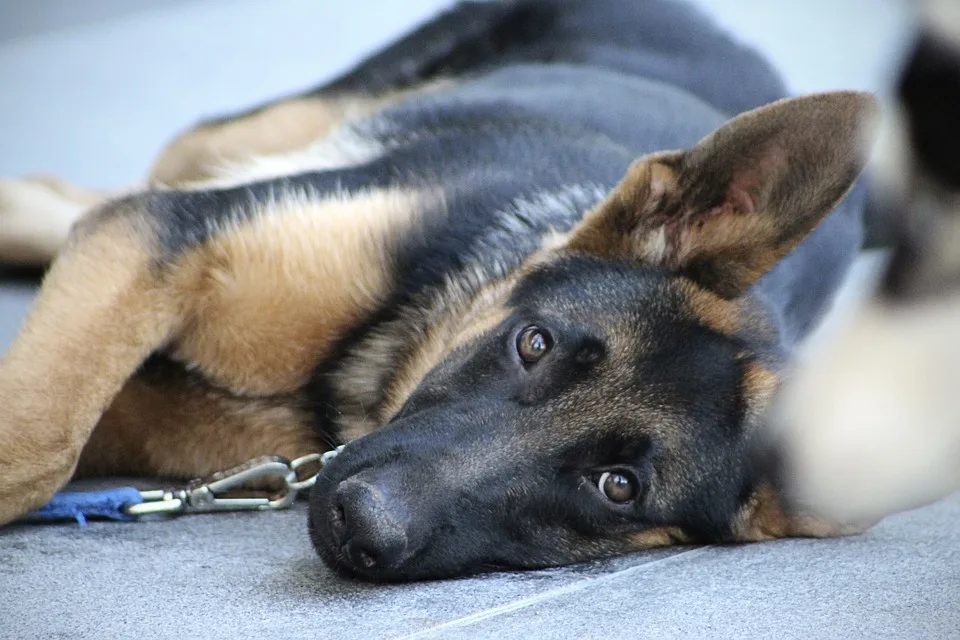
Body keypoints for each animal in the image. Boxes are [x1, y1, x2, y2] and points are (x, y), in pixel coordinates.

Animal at [0, 0, 936, 580]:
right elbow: (38, 438)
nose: (359, 522)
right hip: (265, 134)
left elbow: (46, 434)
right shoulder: (160, 242)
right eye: (534, 343)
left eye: (618, 488)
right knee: (91, 190)